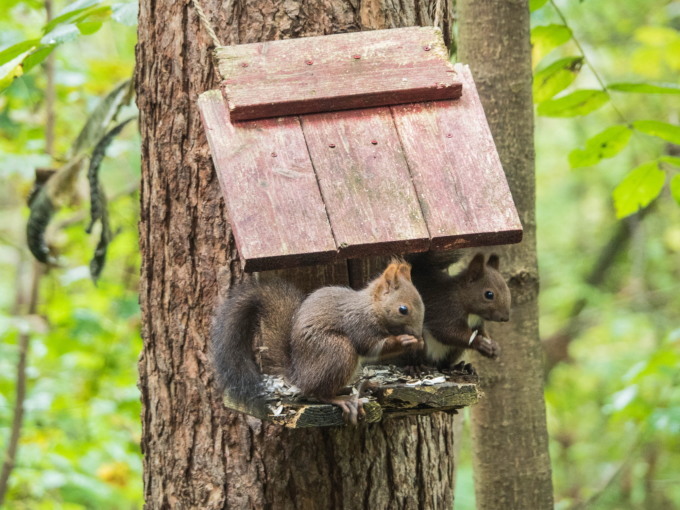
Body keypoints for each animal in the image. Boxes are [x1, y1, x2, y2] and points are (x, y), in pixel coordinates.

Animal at [211, 260, 424, 424]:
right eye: (403, 309)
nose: (418, 334)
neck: (371, 307)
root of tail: (299, 375)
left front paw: (419, 343)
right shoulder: (358, 324)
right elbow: (370, 347)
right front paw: (405, 340)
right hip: (338, 351)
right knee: (320, 393)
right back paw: (342, 399)